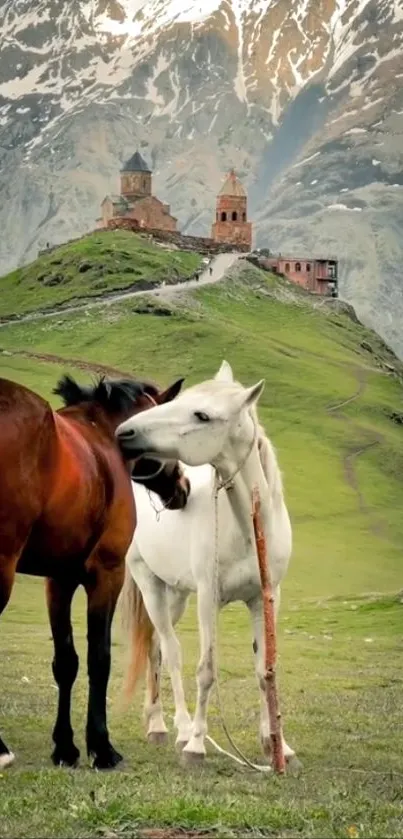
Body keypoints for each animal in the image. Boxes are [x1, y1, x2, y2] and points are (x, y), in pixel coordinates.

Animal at [0, 378, 186, 772]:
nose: (182, 488)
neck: (102, 440)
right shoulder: (107, 574)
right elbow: (99, 658)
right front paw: (101, 747)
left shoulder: (59, 580)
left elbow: (66, 661)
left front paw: (65, 746)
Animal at [117, 360, 296, 768]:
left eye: (202, 415)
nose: (124, 432)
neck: (248, 528)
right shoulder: (208, 599)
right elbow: (206, 670)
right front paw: (197, 745)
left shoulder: (266, 598)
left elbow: (264, 670)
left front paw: (276, 745)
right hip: (150, 585)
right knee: (170, 652)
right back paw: (178, 729)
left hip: (176, 595)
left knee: (155, 647)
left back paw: (157, 724)